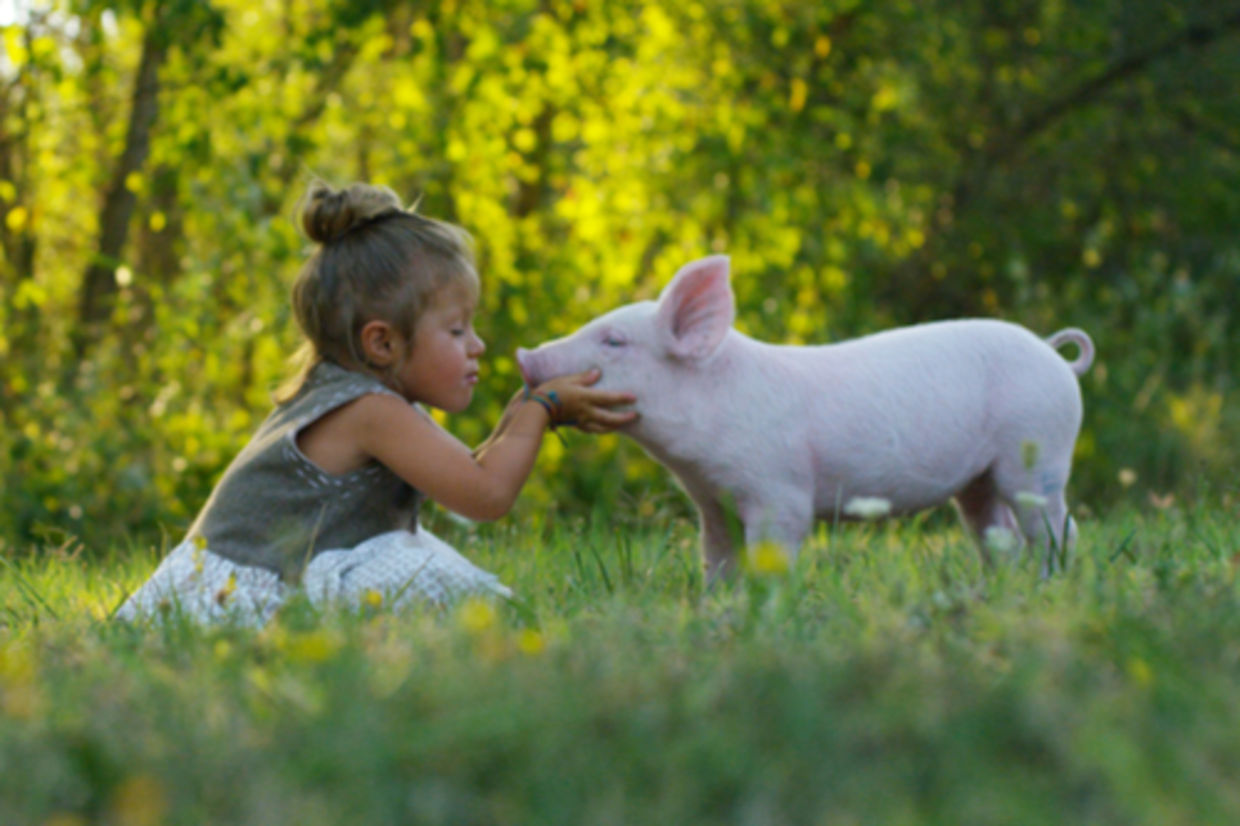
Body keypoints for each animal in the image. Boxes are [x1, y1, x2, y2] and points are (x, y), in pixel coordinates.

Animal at [513, 254, 1096, 575]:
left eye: (614, 340)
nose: (524, 355)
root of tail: (1053, 353)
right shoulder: (713, 505)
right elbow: (716, 562)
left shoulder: (779, 491)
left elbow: (774, 552)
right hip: (978, 481)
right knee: (997, 535)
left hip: (1039, 452)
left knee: (1056, 530)